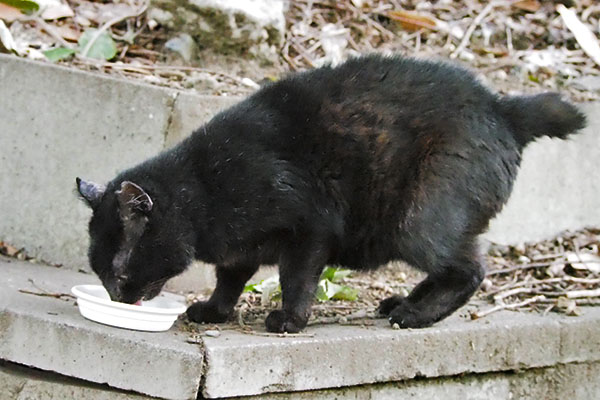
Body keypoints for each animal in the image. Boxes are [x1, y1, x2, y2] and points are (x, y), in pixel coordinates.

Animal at [75, 54, 584, 332]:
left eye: (119, 274)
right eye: (102, 276)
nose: (117, 299)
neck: (203, 186)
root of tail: (502, 108)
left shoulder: (309, 230)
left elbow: (295, 280)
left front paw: (289, 321)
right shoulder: (241, 250)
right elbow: (229, 279)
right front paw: (215, 311)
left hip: (417, 222)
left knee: (471, 269)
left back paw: (414, 316)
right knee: (455, 265)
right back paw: (401, 304)